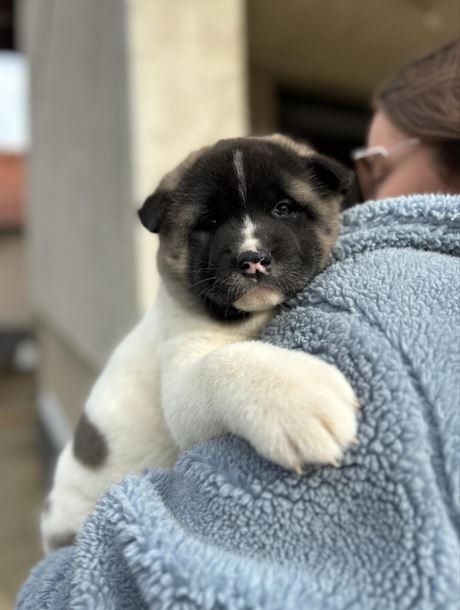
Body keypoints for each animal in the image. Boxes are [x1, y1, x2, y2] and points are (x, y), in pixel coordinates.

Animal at [42, 133, 360, 552]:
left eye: (284, 208)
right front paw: (300, 399)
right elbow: (225, 361)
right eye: (208, 222)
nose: (252, 259)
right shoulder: (182, 376)